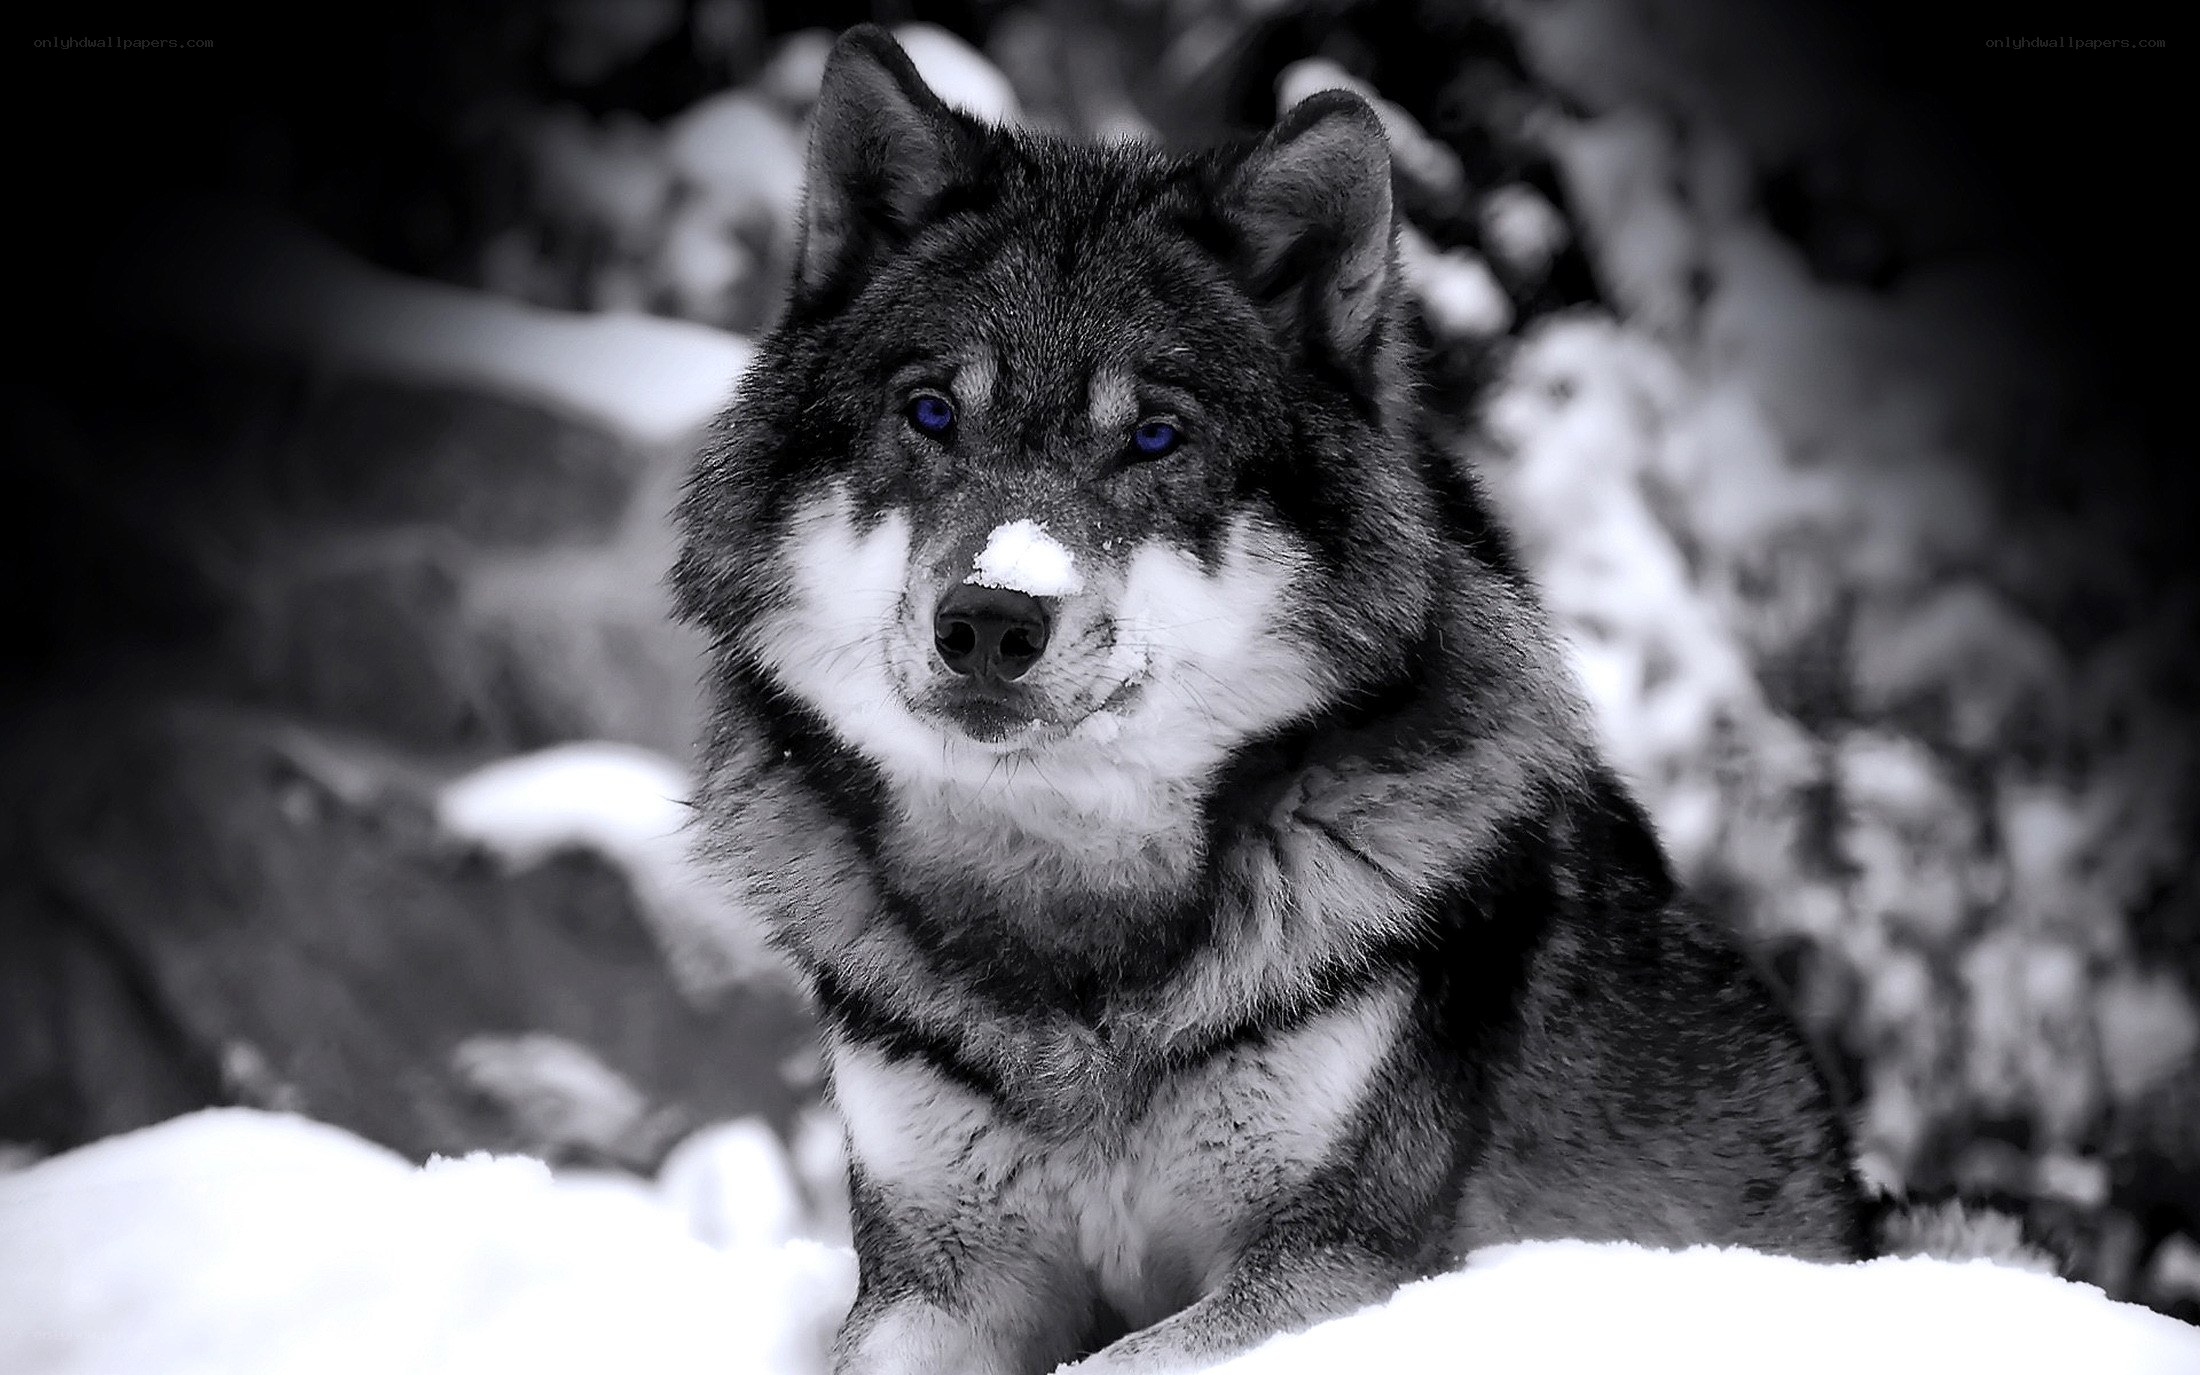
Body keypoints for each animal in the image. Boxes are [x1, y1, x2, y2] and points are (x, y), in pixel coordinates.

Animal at [671, 25, 1868, 1374]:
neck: (1072, 931)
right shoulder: (936, 1277)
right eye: (930, 413)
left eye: (1154, 436)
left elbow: (1115, 1362)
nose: (989, 618)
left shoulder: (1331, 1263)